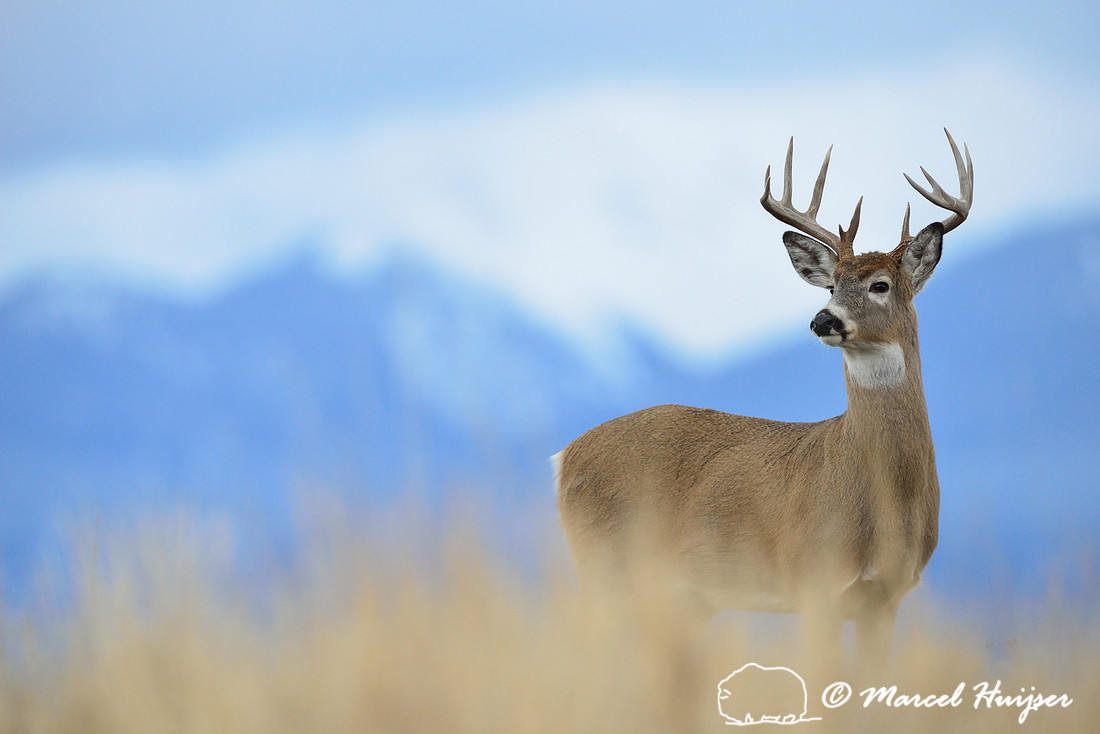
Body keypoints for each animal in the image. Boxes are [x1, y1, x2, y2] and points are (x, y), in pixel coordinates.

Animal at [554, 129, 972, 667]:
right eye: (831, 283)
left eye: (880, 284)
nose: (823, 319)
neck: (885, 498)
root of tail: (565, 455)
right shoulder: (813, 578)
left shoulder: (886, 598)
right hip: (603, 561)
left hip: (681, 595)